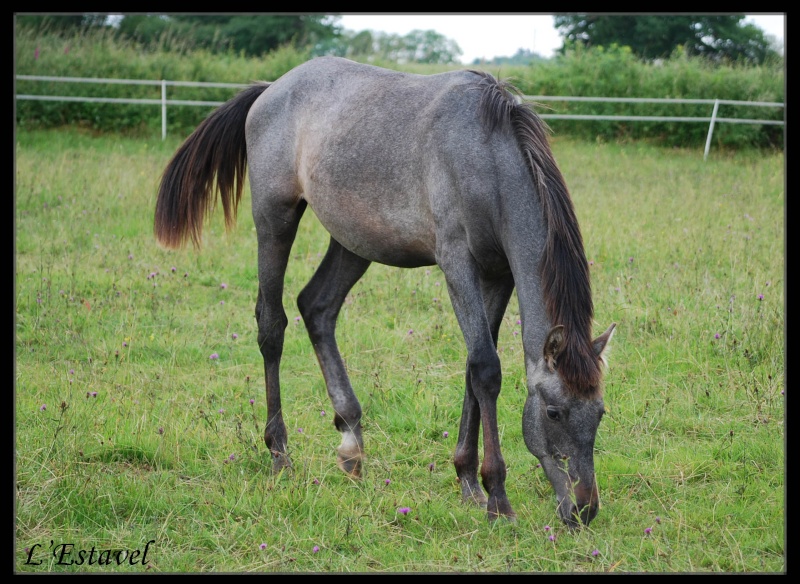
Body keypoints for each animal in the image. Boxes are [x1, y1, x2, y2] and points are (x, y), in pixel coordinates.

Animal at [158, 57, 620, 528]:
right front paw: (497, 496)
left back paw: (351, 442)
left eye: (600, 412)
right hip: (275, 220)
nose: (584, 508)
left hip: (352, 242)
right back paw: (280, 454)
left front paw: (467, 479)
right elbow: (486, 369)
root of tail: (270, 89)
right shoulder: (457, 263)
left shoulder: (498, 276)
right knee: (272, 325)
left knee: (317, 308)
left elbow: (473, 370)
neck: (485, 158)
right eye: (553, 412)